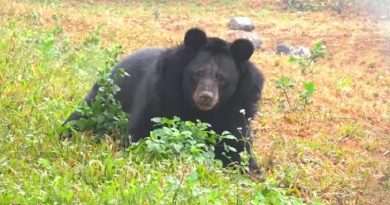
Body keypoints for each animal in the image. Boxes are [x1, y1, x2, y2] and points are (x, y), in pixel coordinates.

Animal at [64, 27, 266, 171]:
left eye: (221, 78)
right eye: (198, 73)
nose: (205, 97)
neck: (199, 111)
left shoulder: (237, 109)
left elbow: (237, 146)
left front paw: (252, 169)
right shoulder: (161, 95)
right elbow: (144, 132)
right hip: (105, 98)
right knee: (80, 117)